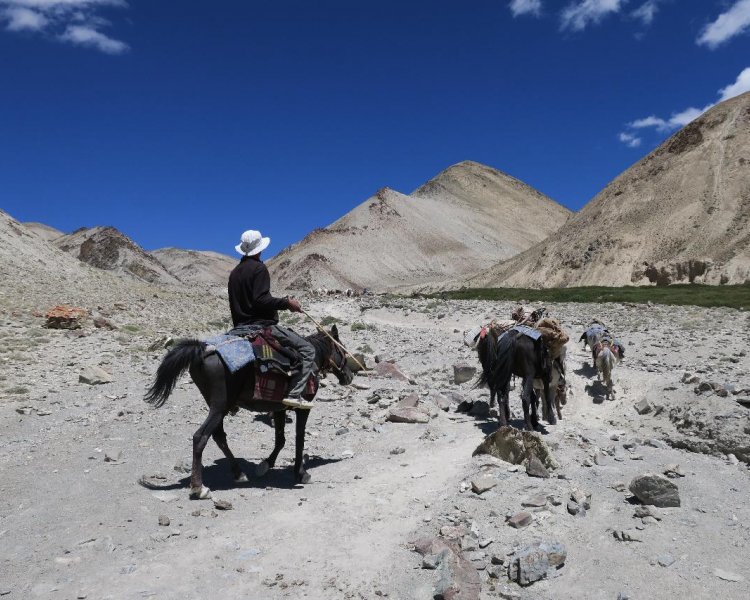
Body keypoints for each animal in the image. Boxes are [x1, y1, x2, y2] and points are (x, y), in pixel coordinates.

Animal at [145, 326, 356, 500]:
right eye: (343, 350)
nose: (350, 376)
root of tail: (203, 350)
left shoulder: (278, 408)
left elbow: (280, 439)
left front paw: (265, 465)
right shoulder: (303, 408)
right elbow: (299, 439)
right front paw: (301, 473)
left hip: (218, 406)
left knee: (219, 436)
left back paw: (239, 473)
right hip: (219, 406)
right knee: (200, 437)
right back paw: (199, 488)